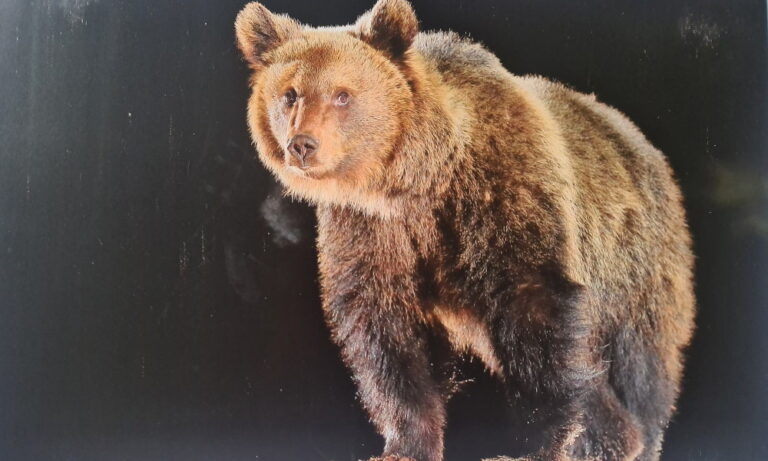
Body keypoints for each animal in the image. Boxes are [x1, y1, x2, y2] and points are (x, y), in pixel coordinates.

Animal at [234, 1, 695, 460]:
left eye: (343, 94)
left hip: (636, 267)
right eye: (290, 93)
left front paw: (533, 443)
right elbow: (384, 333)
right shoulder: (371, 229)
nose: (302, 144)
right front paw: (405, 444)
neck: (416, 179)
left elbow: (534, 305)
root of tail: (640, 141)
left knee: (639, 368)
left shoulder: (501, 193)